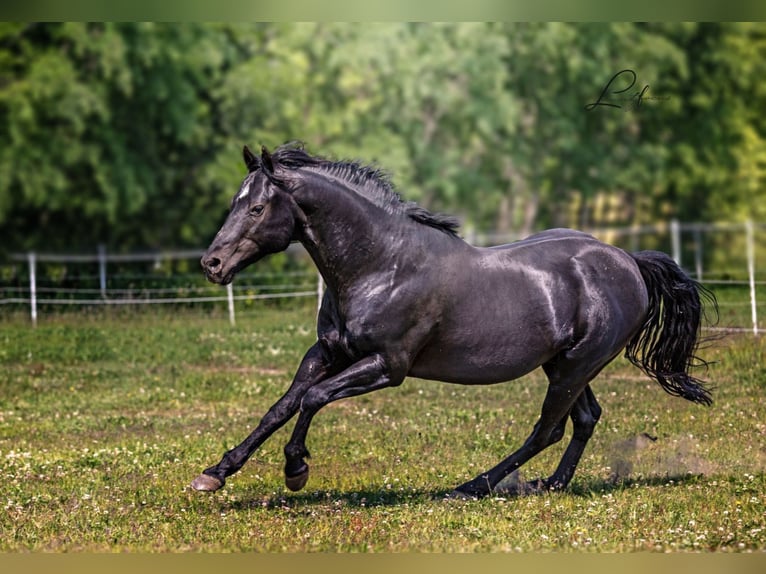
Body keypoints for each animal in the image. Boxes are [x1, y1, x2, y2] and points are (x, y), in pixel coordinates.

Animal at [191, 143, 716, 499]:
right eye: (236, 202)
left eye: (258, 207)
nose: (212, 264)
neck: (381, 265)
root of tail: (628, 261)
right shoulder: (326, 353)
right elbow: (280, 406)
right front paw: (215, 473)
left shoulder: (387, 365)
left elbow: (313, 400)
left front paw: (295, 470)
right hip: (566, 364)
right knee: (584, 419)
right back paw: (550, 485)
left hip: (576, 366)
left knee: (548, 429)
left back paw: (472, 486)